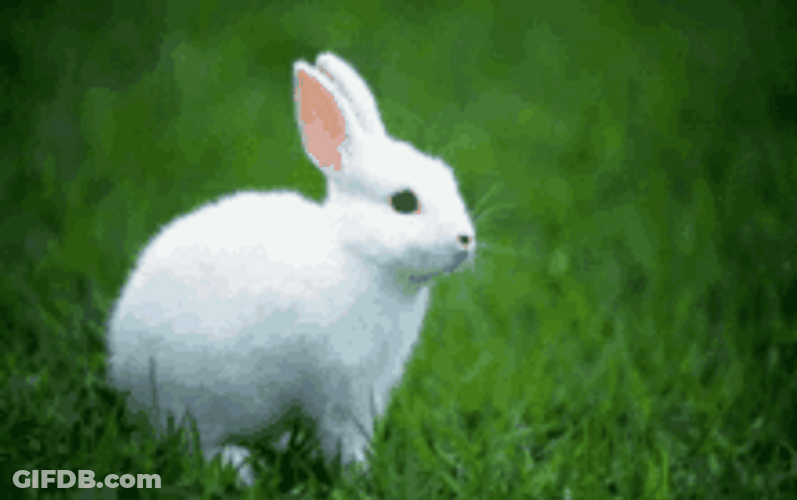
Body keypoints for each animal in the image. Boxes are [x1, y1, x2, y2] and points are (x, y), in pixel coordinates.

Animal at [106, 51, 476, 485]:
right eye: (403, 202)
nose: (465, 239)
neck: (359, 254)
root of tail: (124, 372)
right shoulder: (343, 388)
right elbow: (344, 437)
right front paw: (359, 475)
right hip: (197, 400)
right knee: (194, 443)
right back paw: (241, 466)